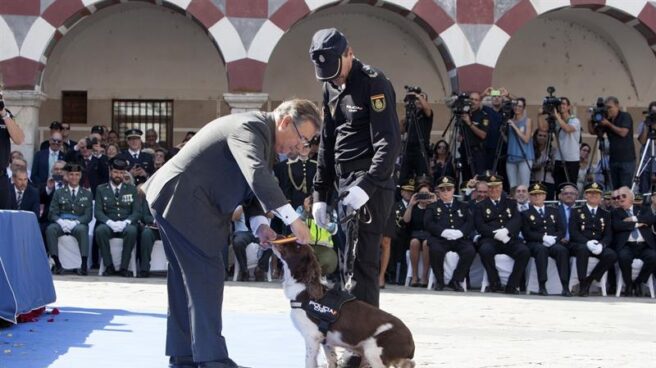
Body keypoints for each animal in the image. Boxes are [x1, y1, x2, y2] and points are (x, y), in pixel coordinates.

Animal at [272, 242, 416, 368]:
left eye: (297, 245)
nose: (279, 235)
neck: (304, 290)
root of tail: (411, 343)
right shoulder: (325, 340)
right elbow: (331, 360)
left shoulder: (312, 337)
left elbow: (309, 362)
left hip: (374, 351)